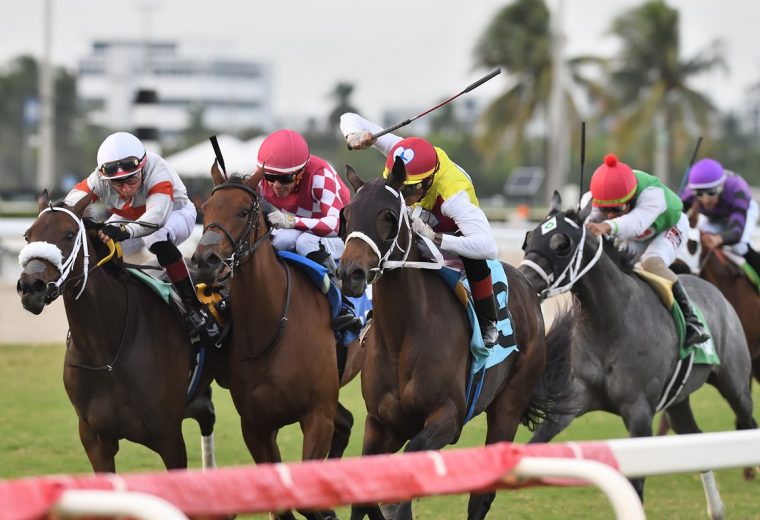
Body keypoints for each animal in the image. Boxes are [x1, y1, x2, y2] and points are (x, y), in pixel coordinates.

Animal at [16, 194, 221, 472]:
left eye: (69, 235)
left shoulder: (169, 436)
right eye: (28, 235)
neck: (105, 354)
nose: (30, 287)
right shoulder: (95, 439)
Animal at [193, 166, 366, 520]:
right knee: (346, 424)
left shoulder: (317, 416)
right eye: (205, 209)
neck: (271, 327)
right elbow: (283, 506)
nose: (205, 260)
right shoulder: (256, 426)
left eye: (243, 211)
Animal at [336, 160, 568, 516]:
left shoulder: (448, 416)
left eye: (388, 215)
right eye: (346, 214)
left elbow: (411, 471)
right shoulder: (380, 423)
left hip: (509, 405)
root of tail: (528, 285)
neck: (401, 337)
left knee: (482, 495)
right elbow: (365, 496)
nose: (351, 274)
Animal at [520, 193, 756, 516]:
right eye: (529, 237)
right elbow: (533, 445)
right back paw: (716, 509)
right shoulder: (572, 402)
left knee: (749, 422)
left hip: (734, 384)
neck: (609, 324)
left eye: (561, 244)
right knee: (695, 436)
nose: (523, 278)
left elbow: (636, 485)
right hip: (678, 401)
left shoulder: (639, 413)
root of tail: (715, 291)